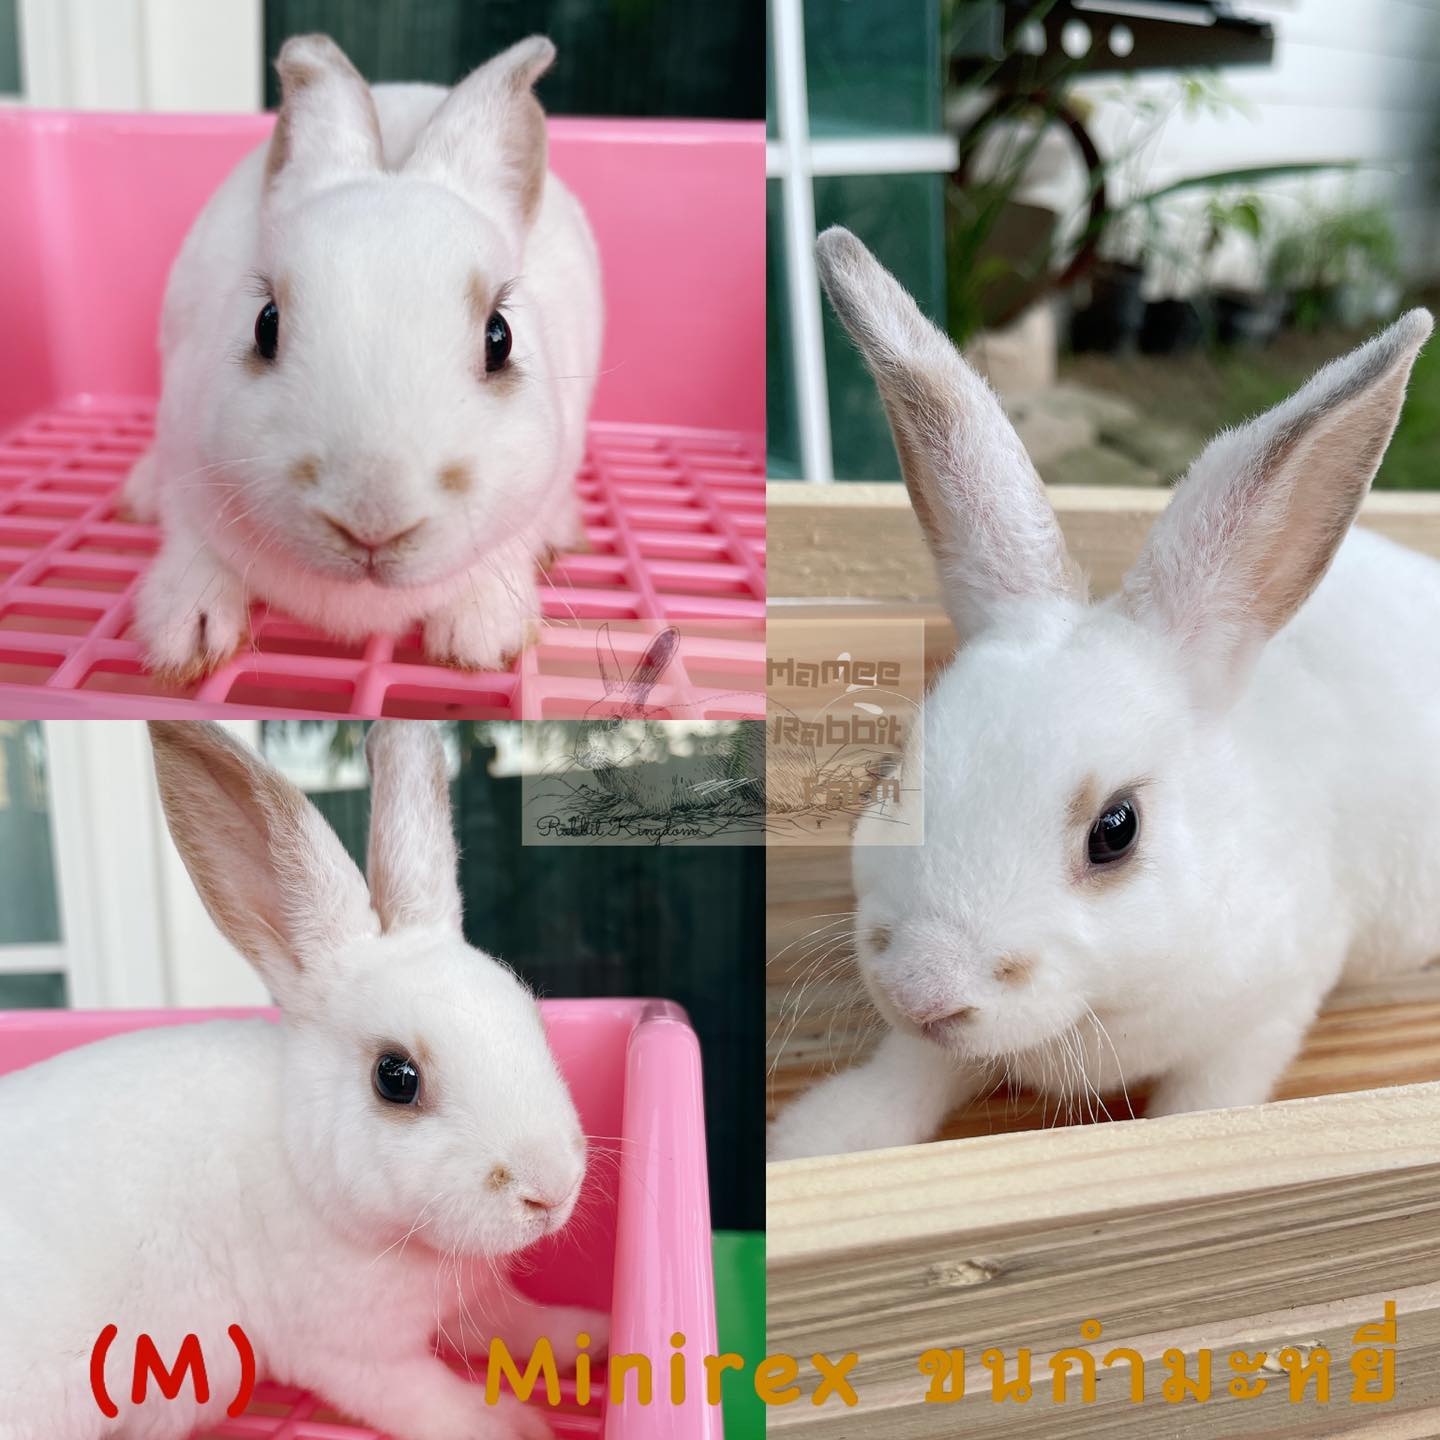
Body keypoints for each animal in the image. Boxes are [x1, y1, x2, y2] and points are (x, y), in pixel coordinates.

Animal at [0, 721, 604, 1440]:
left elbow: (525, 1324)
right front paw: (518, 1425)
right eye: (395, 1078)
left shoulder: (477, 1305)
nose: (553, 1190)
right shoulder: (357, 1358)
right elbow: (440, 1404)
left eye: (531, 1014)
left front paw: (593, 1336)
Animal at [122, 33, 603, 680]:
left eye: (498, 338)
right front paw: (187, 636)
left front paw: (481, 640)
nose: (372, 517)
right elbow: (194, 549)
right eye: (266, 325)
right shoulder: (186, 472)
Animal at [767, 226, 1440, 1162]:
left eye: (1116, 832)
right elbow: (907, 1074)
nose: (922, 988)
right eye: (893, 780)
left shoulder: (1268, 1014)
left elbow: (1207, 1103)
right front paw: (816, 1141)